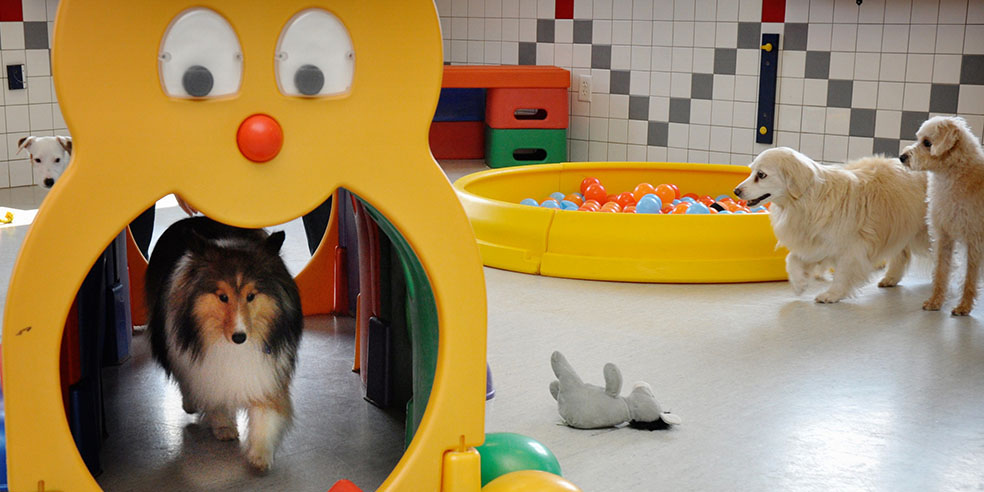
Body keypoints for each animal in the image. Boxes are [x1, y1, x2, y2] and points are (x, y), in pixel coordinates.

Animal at [144, 217, 302, 470]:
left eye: (251, 296)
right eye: (222, 296)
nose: (239, 337)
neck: (231, 348)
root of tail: (193, 218)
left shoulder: (267, 369)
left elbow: (266, 412)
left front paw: (260, 454)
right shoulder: (204, 366)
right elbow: (213, 393)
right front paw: (224, 426)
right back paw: (191, 402)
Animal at [736, 146, 928, 304]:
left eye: (761, 175)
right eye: (751, 171)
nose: (736, 191)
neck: (807, 200)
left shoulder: (852, 248)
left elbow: (842, 273)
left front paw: (832, 295)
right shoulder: (814, 244)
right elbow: (791, 259)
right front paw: (799, 283)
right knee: (901, 256)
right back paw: (891, 279)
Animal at [900, 115, 984, 316]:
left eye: (927, 143)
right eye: (918, 138)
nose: (902, 157)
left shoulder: (974, 240)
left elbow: (970, 277)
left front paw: (964, 306)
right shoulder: (943, 235)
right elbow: (940, 271)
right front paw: (935, 301)